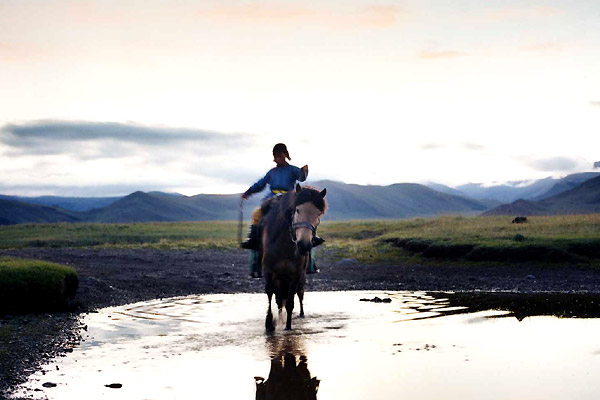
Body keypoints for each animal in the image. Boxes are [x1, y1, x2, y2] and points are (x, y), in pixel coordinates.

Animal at [260, 184, 328, 332]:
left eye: (318, 214)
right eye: (297, 210)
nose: (304, 245)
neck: (284, 246)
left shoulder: (295, 275)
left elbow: (290, 302)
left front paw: (288, 327)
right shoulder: (269, 272)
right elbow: (270, 294)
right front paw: (269, 323)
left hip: (299, 279)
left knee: (299, 295)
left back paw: (301, 314)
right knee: (279, 298)